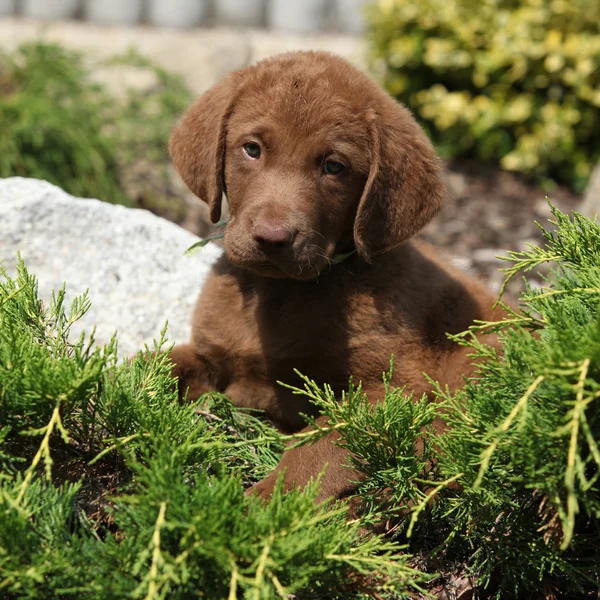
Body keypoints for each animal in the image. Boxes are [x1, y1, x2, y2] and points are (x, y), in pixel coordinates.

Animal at [166, 51, 504, 502]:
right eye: (252, 149)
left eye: (333, 166)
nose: (272, 237)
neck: (279, 294)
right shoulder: (211, 355)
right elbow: (161, 363)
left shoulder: (397, 386)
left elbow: (321, 445)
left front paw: (265, 503)